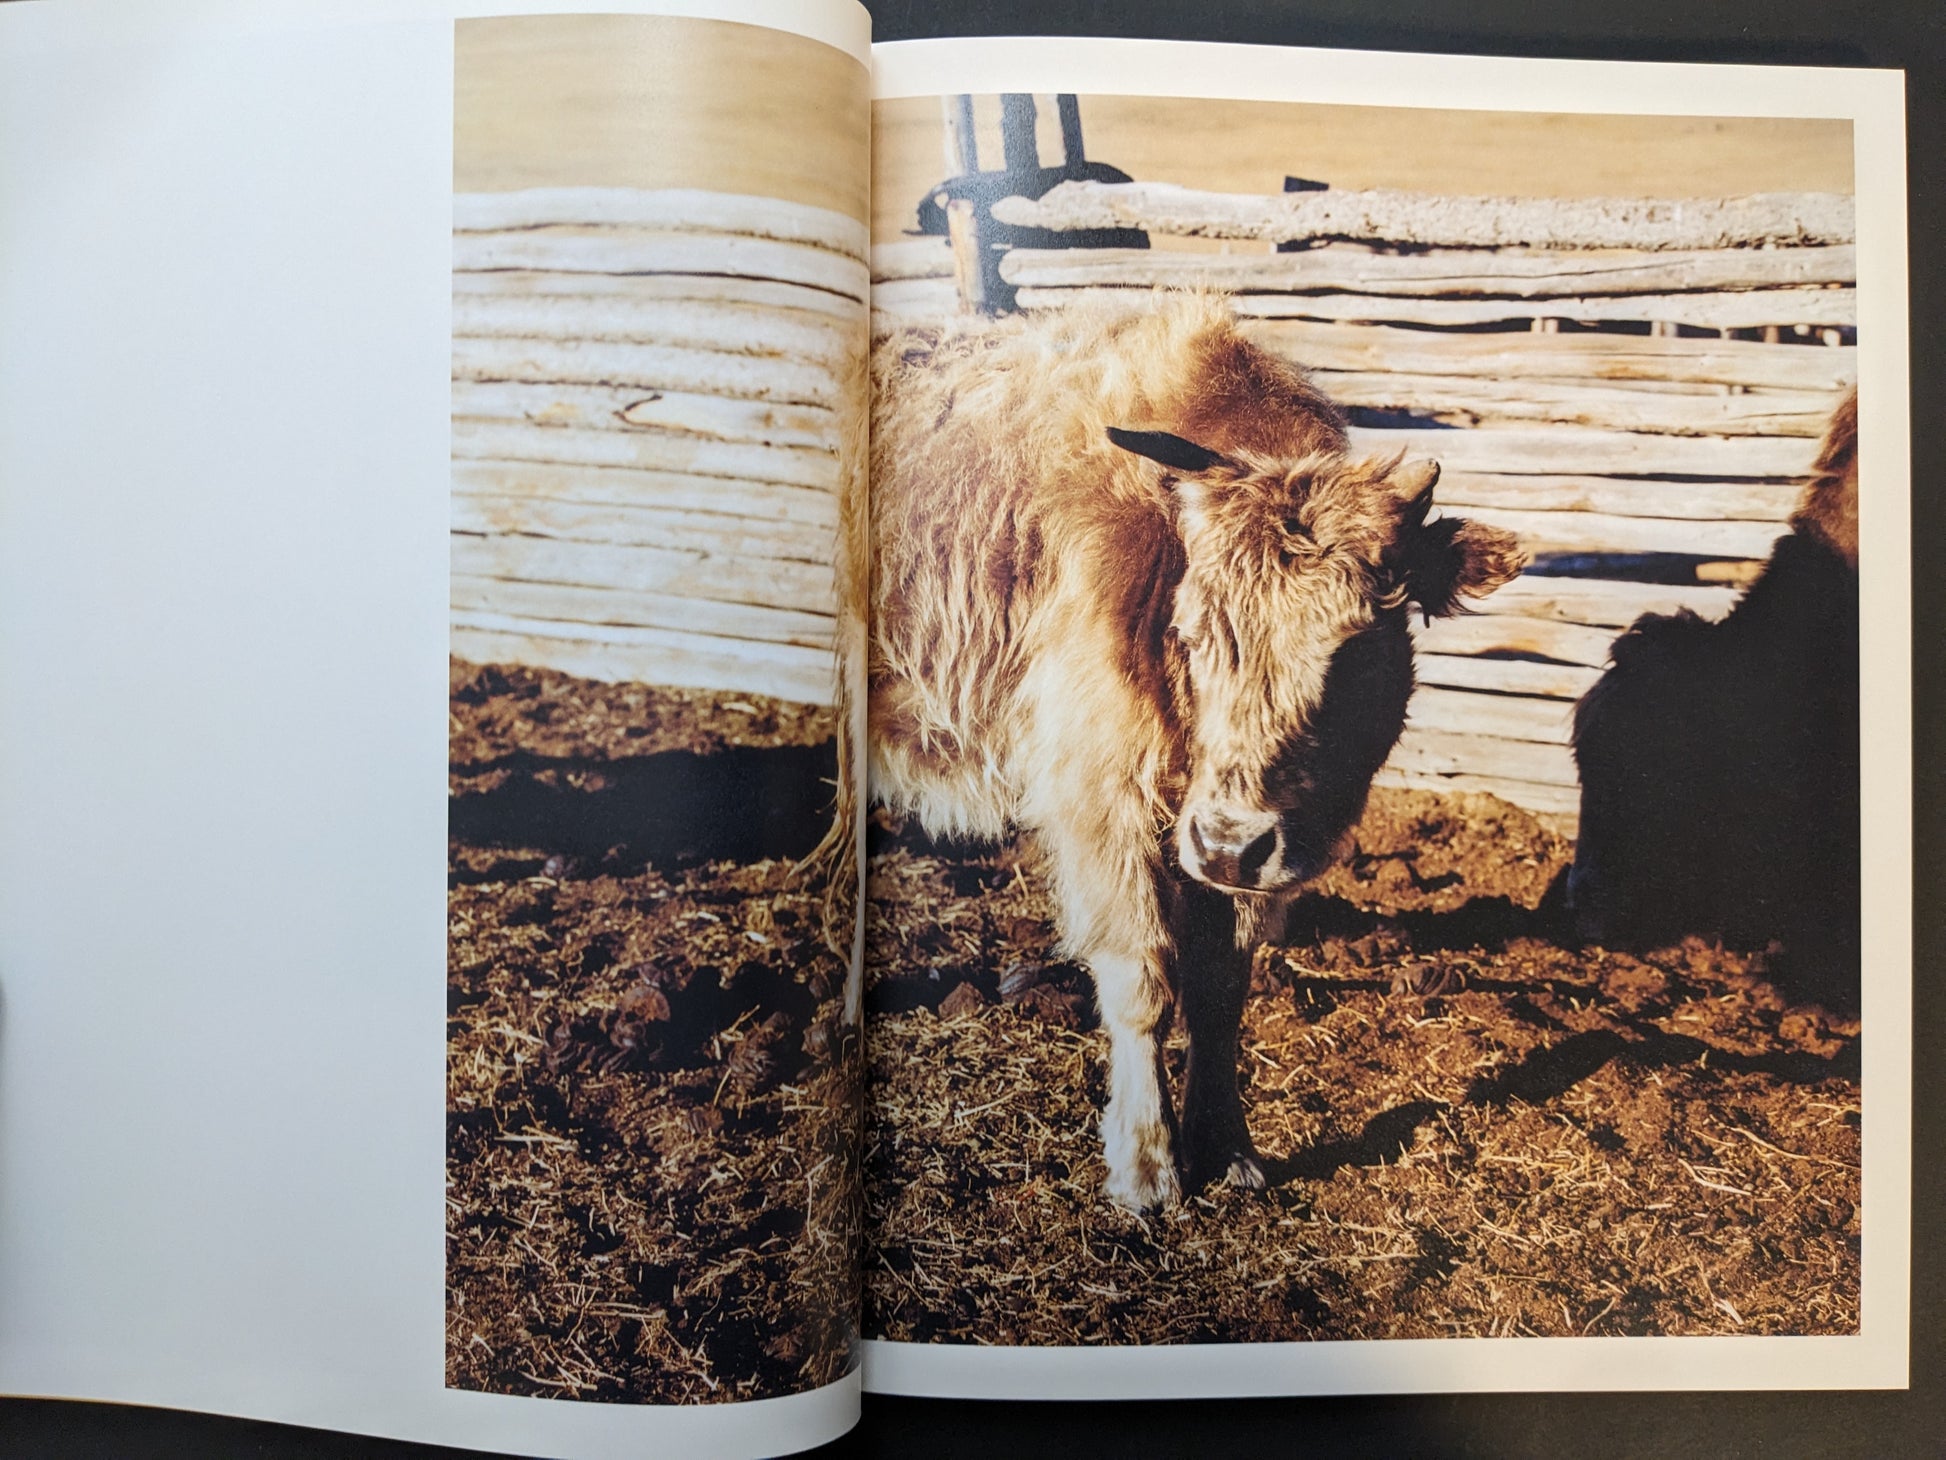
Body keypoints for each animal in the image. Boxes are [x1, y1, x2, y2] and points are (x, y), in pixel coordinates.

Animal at [866, 298, 1525, 1211]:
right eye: (1194, 627)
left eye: (1358, 646)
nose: (1228, 843)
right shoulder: (1103, 807)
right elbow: (1141, 980)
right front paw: (1146, 1164)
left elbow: (1221, 990)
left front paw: (1229, 1147)